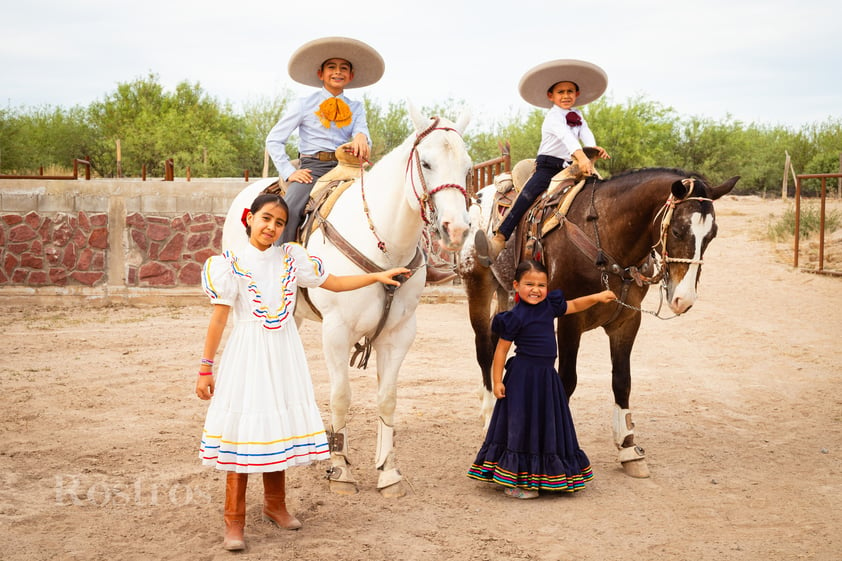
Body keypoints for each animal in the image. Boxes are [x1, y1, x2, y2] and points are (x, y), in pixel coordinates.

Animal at [221, 104, 472, 494]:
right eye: (426, 163)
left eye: (467, 167)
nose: (456, 229)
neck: (384, 245)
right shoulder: (337, 332)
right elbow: (341, 397)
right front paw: (340, 469)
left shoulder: (399, 334)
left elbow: (387, 398)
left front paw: (388, 471)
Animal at [460, 167, 736, 476]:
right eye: (677, 231)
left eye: (712, 234)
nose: (684, 299)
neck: (605, 238)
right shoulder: (569, 320)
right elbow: (566, 381)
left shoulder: (627, 321)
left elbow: (622, 380)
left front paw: (628, 449)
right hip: (478, 286)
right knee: (485, 348)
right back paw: (489, 415)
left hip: (506, 292)